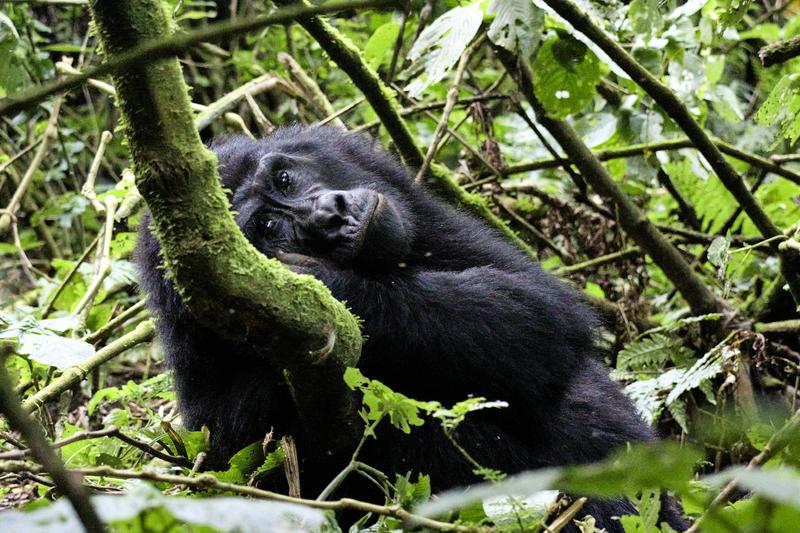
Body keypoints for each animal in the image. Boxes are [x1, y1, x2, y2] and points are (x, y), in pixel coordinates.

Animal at [138, 123, 688, 528]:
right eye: (269, 227)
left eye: (285, 181)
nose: (331, 213)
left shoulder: (374, 174)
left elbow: (542, 312)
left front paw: (328, 286)